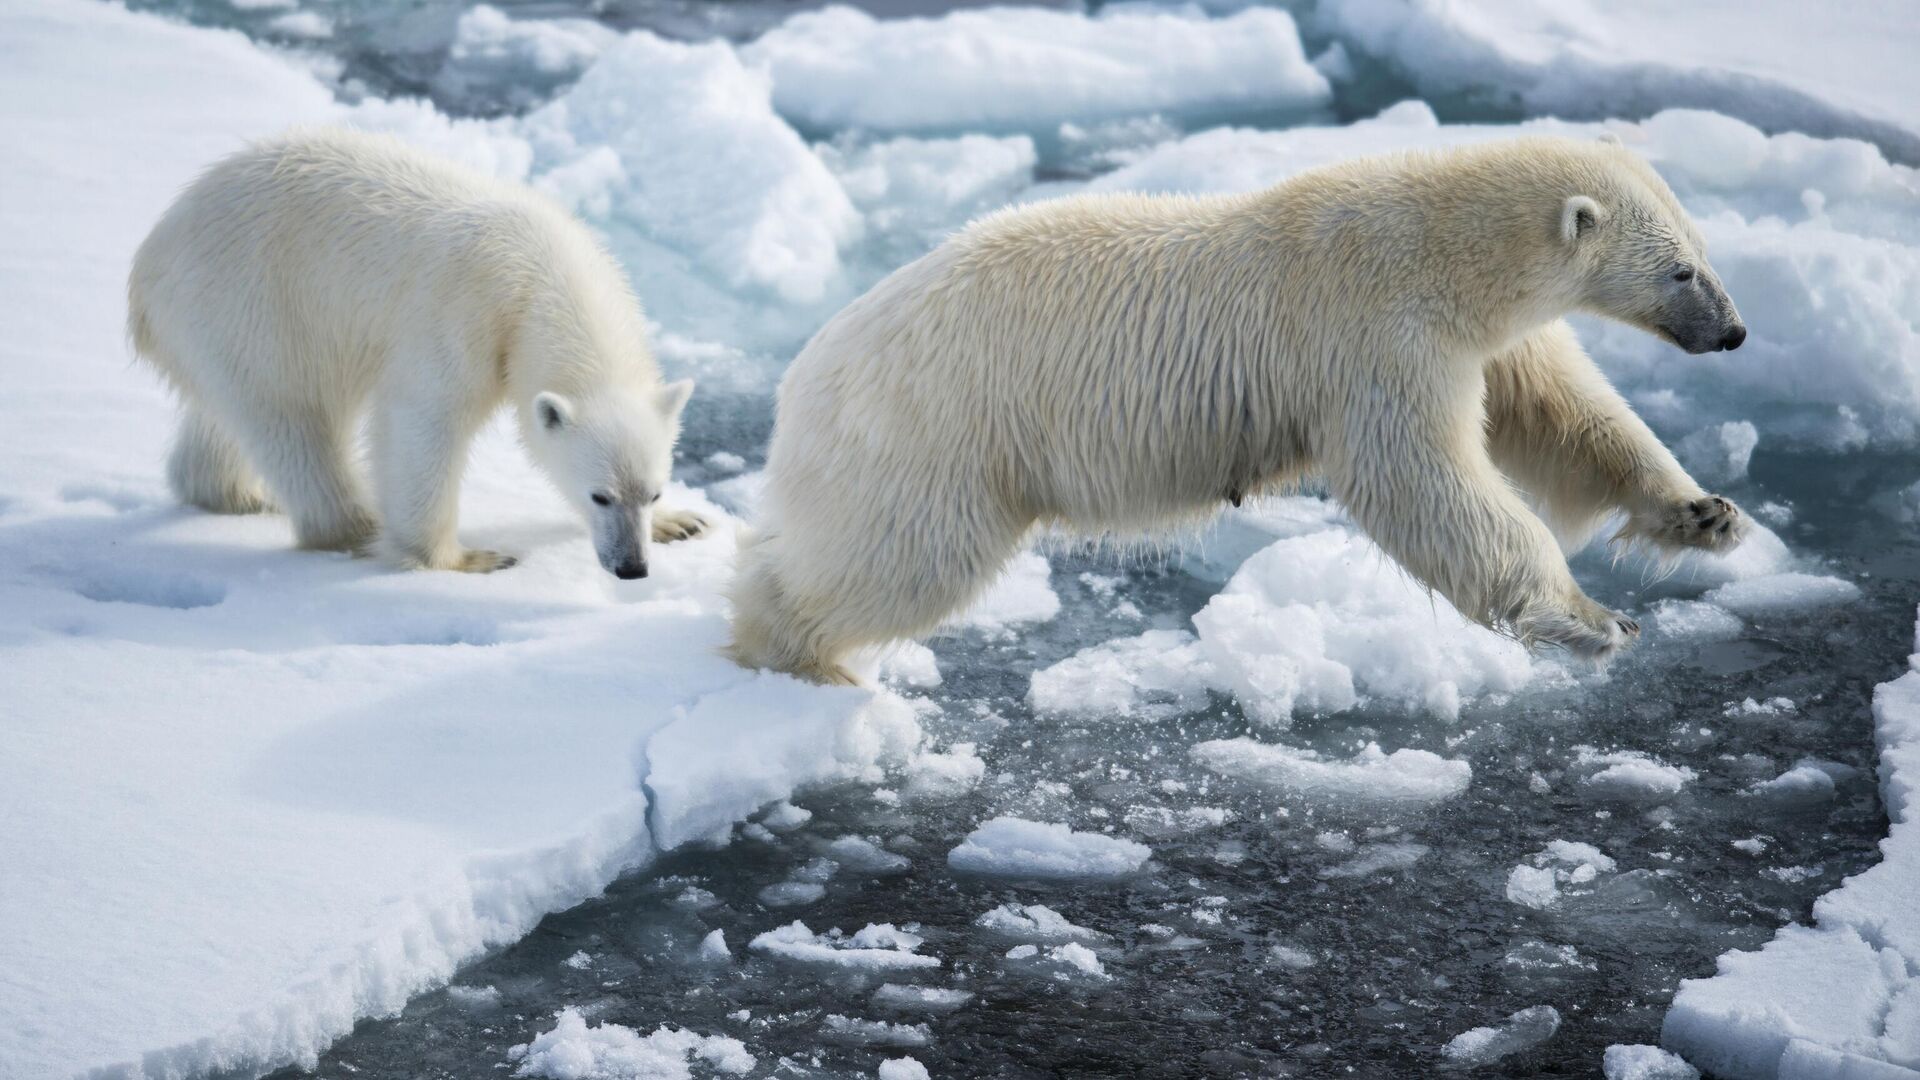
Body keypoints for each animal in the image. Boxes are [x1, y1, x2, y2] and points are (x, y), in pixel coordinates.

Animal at [131, 127, 710, 572]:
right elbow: (423, 421)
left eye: (653, 492)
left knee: (225, 416)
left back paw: (234, 492)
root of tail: (150, 261)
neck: (543, 275)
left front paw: (682, 523)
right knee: (294, 419)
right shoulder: (464, 316)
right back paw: (355, 526)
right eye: (600, 495)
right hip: (254, 301)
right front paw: (464, 559)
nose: (632, 568)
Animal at [733, 134, 1758, 680]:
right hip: (936, 430)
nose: (1736, 332)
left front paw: (1705, 513)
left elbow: (1566, 418)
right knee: (902, 556)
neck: (1440, 248)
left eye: (1704, 249)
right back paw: (793, 650)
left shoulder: (1485, 340)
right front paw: (1593, 618)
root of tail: (805, 370)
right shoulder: (1373, 336)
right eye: (1680, 270)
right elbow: (1425, 482)